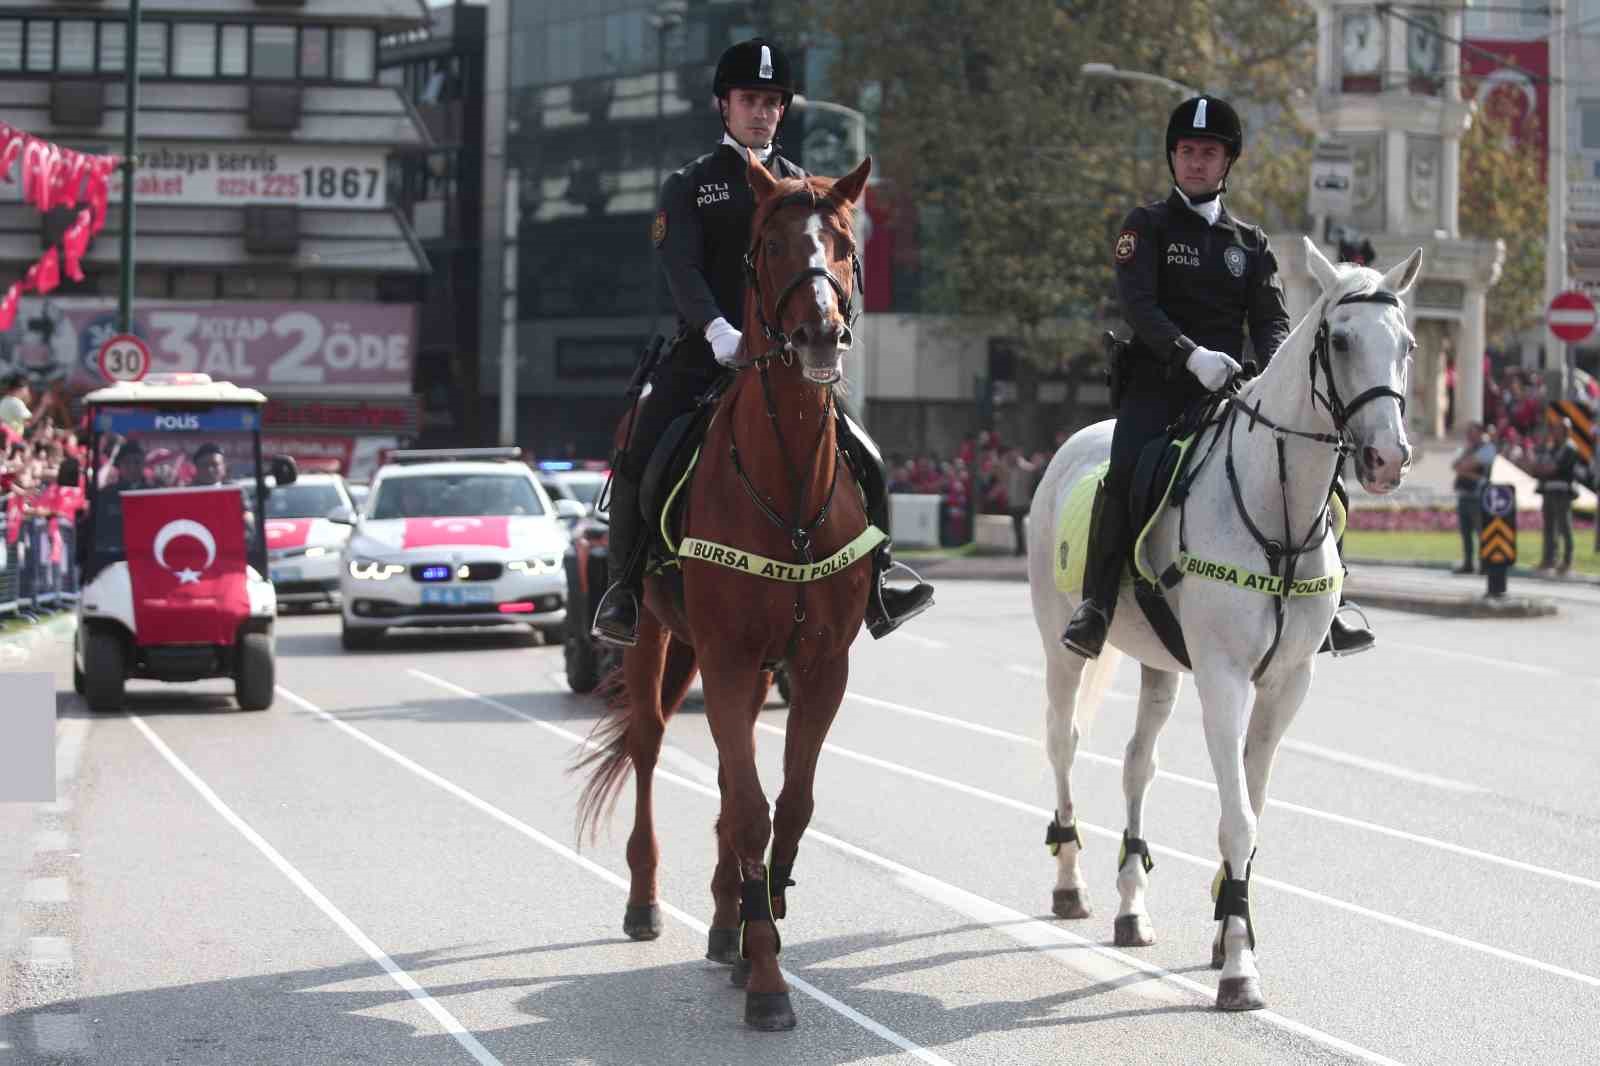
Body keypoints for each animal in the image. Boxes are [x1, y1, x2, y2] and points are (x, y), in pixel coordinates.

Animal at [576, 153, 876, 1024]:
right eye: (769, 244)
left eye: (845, 244)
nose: (819, 335)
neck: (788, 485)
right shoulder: (732, 658)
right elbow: (749, 810)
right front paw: (767, 976)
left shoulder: (819, 666)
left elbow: (790, 806)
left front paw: (757, 924)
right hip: (655, 640)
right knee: (646, 747)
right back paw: (646, 901)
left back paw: (723, 920)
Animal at [1030, 236, 1420, 1011]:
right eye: (1339, 339)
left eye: (1408, 345)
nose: (1387, 459)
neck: (1278, 510)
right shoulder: (1223, 680)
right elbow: (1238, 817)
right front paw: (1239, 965)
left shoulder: (1285, 686)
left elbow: (1250, 808)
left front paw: (1227, 924)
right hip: (1063, 651)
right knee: (1064, 743)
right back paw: (1070, 883)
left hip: (1158, 666)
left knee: (1136, 763)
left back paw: (1131, 905)